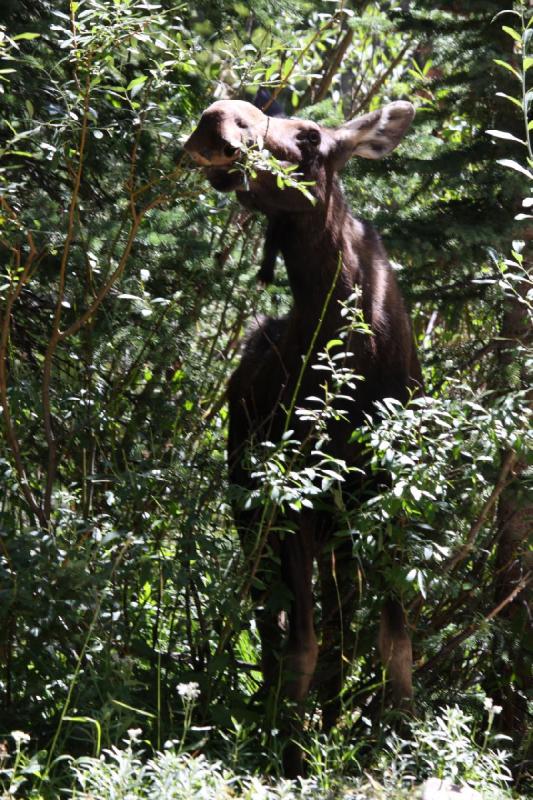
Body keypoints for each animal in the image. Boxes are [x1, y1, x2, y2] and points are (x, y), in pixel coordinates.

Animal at [185, 98, 422, 776]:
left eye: (311, 137)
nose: (218, 118)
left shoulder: (389, 494)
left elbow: (394, 642)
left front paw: (399, 741)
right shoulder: (290, 497)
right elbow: (302, 646)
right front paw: (288, 753)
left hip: (334, 525)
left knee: (340, 620)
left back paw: (333, 718)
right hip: (251, 507)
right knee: (273, 621)